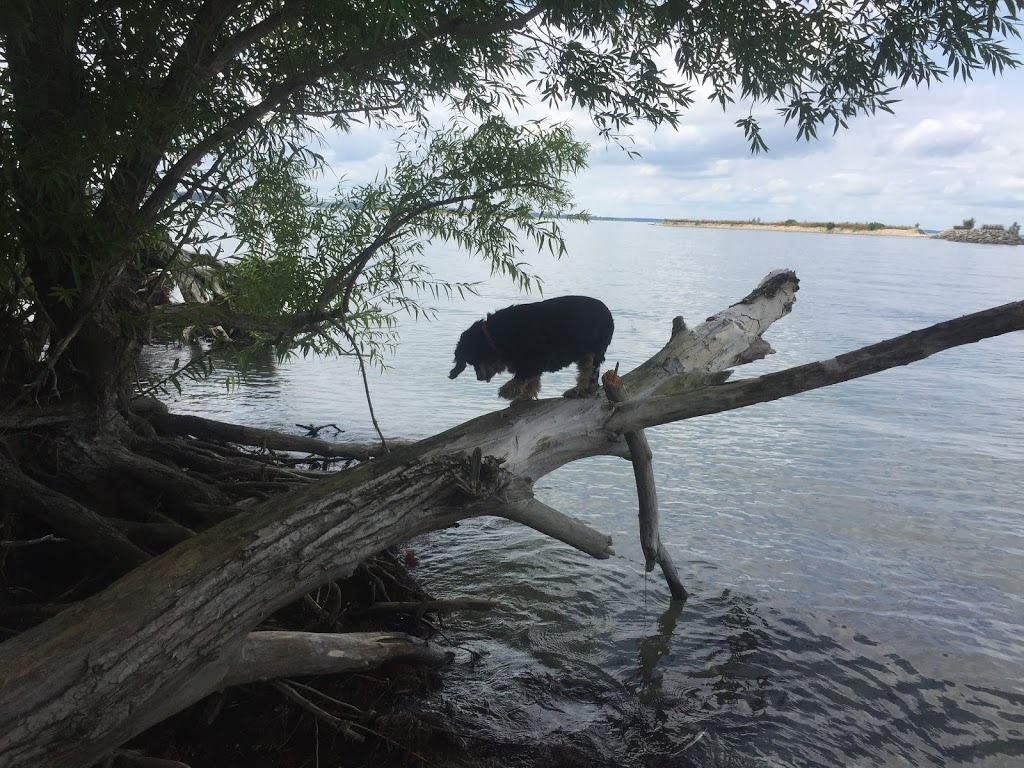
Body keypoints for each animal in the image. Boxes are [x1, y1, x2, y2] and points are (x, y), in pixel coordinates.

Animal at [450, 296, 610, 403]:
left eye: (472, 361)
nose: (479, 378)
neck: (495, 333)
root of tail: (609, 315)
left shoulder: (535, 358)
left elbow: (522, 376)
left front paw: (507, 391)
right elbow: (532, 380)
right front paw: (524, 397)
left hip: (590, 354)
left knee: (587, 373)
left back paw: (578, 390)